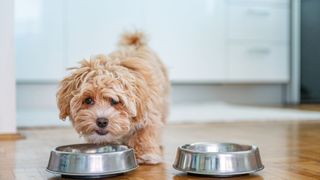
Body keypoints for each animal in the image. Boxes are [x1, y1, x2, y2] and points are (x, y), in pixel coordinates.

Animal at [55, 31, 170, 165]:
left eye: (115, 101)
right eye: (88, 100)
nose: (101, 121)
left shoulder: (149, 113)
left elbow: (145, 132)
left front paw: (145, 153)